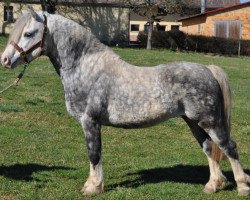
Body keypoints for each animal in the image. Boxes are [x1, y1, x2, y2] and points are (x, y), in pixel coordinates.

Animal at [0, 9, 249, 195]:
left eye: (29, 33)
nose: (5, 60)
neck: (86, 68)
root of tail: (207, 69)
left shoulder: (89, 121)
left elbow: (94, 153)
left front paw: (93, 187)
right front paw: (93, 184)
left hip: (210, 121)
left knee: (228, 147)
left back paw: (242, 186)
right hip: (194, 122)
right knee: (209, 148)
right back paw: (213, 185)